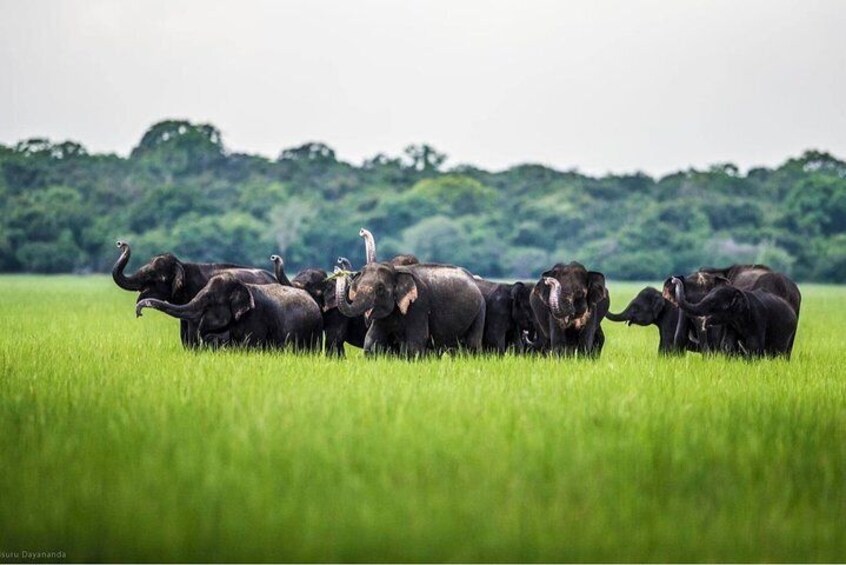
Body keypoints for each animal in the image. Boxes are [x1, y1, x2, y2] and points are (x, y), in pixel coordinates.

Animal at [334, 262, 486, 356]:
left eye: (380, 289)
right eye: (357, 286)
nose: (338, 269)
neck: (395, 269)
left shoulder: (419, 305)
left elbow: (416, 341)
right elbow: (372, 339)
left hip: (480, 310)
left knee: (472, 344)